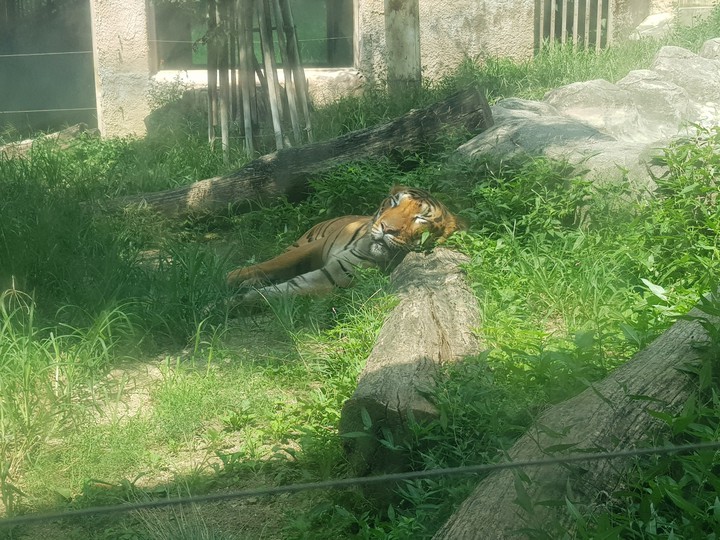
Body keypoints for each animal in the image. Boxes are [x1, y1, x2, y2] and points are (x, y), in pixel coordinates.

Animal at [226, 186, 462, 305]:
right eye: (395, 202)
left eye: (420, 219)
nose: (386, 228)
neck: (366, 246)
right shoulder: (315, 248)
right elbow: (273, 264)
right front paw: (230, 277)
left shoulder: (332, 277)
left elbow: (283, 291)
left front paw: (237, 301)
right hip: (302, 243)